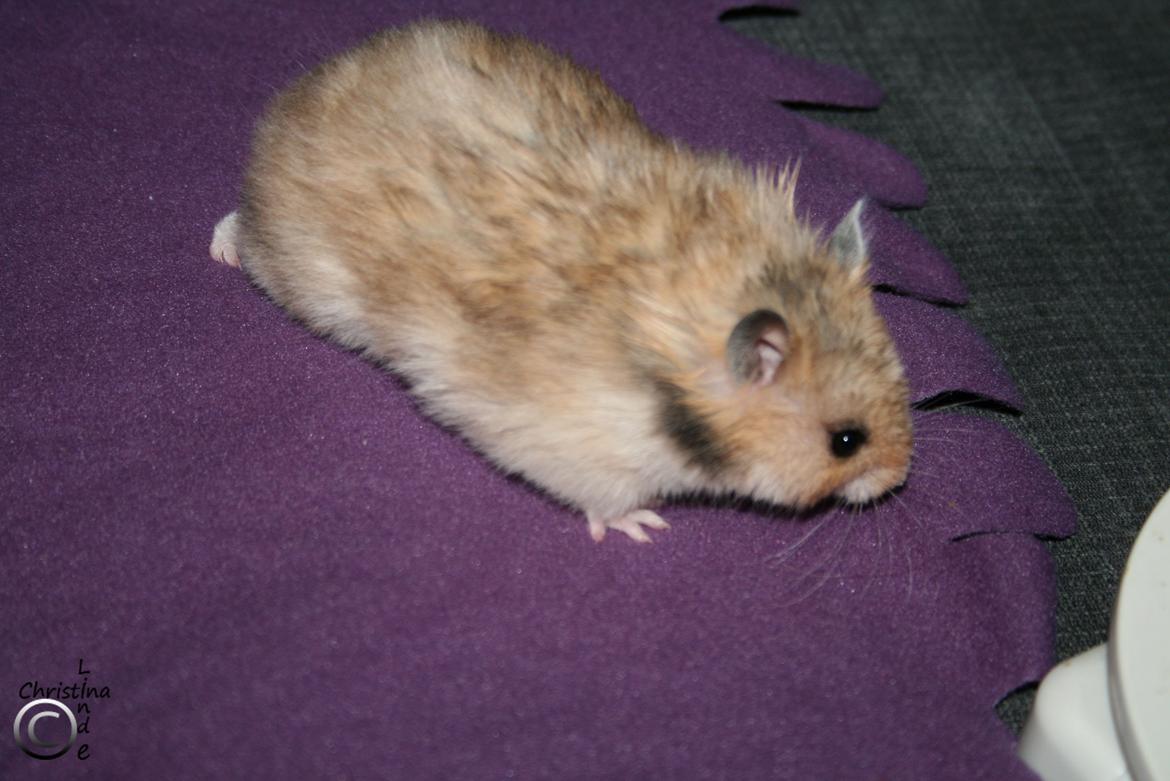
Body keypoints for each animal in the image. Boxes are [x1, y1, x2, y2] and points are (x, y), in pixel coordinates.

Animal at [209, 19, 913, 542]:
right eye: (846, 442)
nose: (899, 480)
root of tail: (294, 99)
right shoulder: (574, 445)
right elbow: (608, 498)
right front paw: (643, 526)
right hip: (306, 274)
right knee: (243, 229)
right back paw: (224, 247)